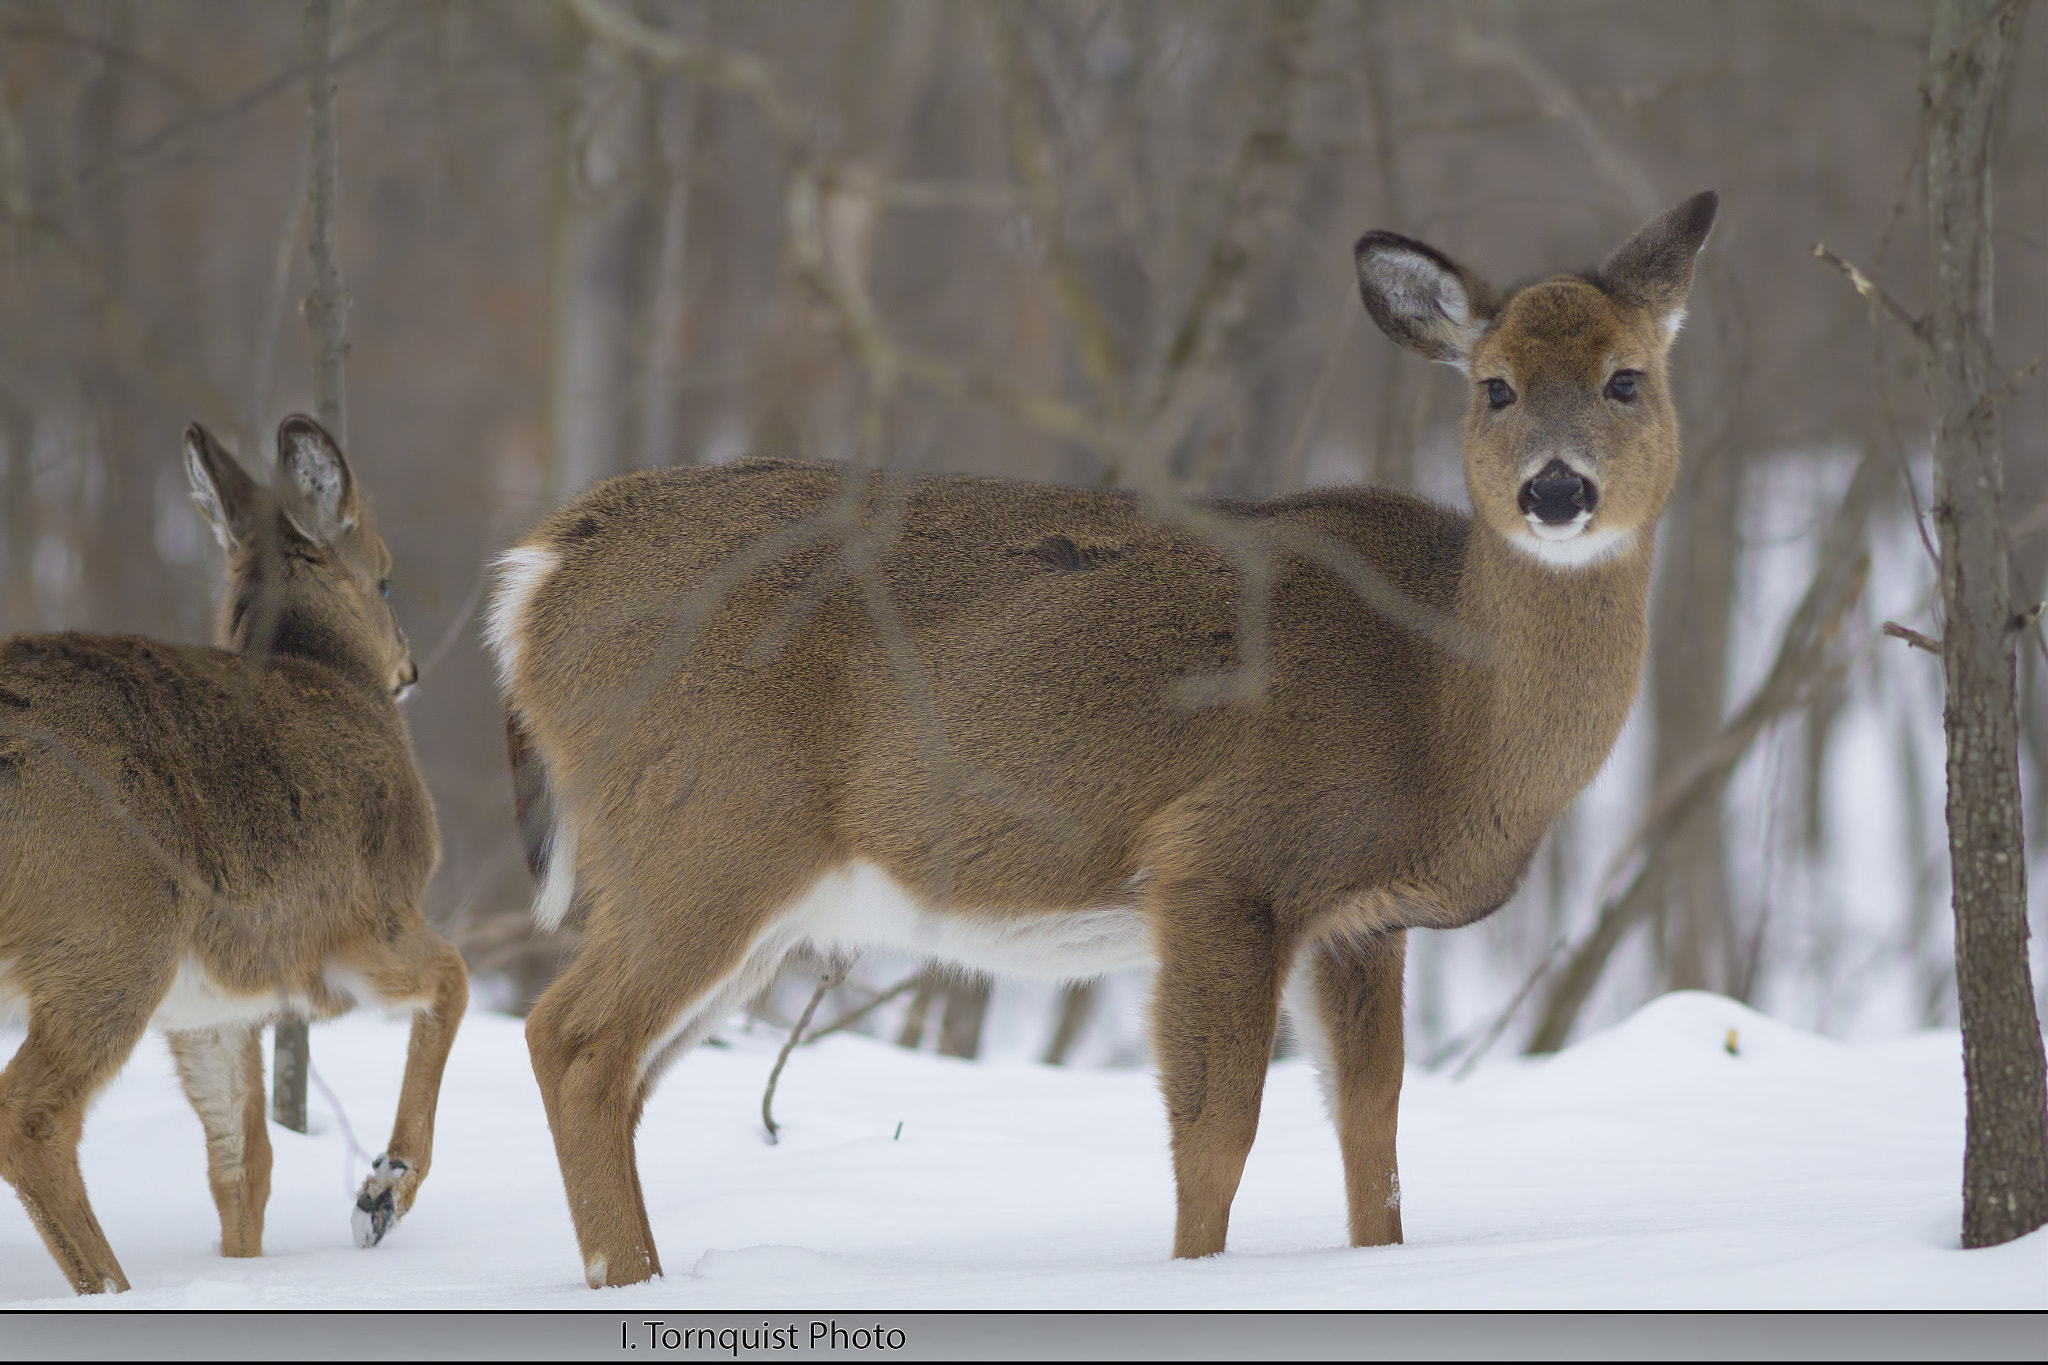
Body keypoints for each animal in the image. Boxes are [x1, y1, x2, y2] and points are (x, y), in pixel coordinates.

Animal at [0, 416, 467, 1295]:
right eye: (386, 581)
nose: (413, 666)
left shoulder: (209, 1005)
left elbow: (244, 1159)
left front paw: (246, 1271)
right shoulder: (358, 925)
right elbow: (454, 979)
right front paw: (383, 1189)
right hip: (113, 929)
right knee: (32, 1113)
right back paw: (112, 1289)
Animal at [491, 192, 1718, 1287]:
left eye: (1626, 378)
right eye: (1494, 387)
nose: (1554, 490)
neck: (1442, 699)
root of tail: (533, 578)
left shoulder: (1359, 921)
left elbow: (1373, 1133)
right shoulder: (1220, 862)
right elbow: (1216, 1130)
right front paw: (1192, 1278)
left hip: (738, 882)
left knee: (610, 1064)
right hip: (704, 825)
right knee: (575, 1042)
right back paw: (630, 1279)